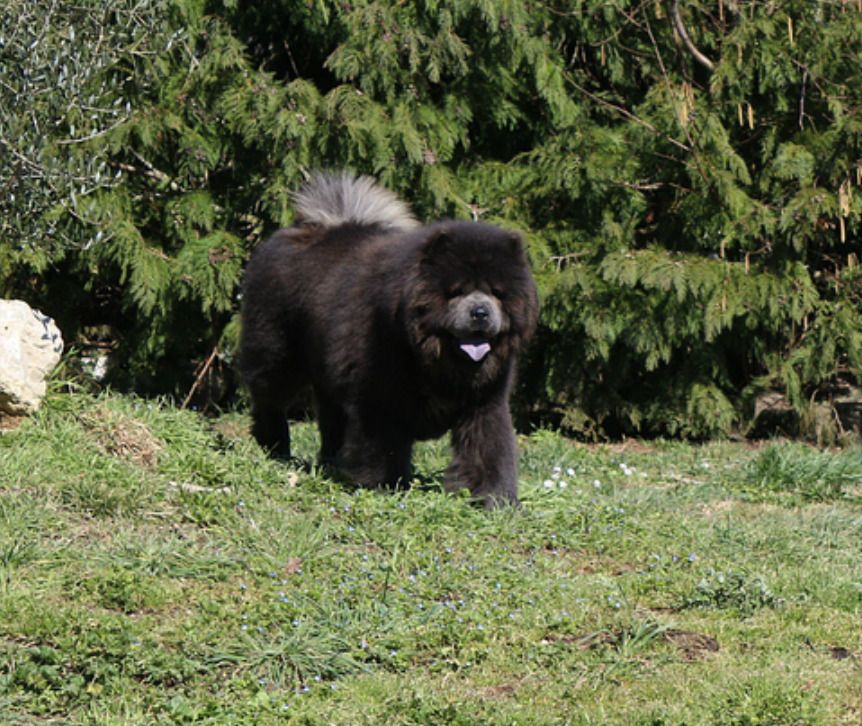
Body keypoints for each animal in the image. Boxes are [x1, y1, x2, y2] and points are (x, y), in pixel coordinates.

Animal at [241, 173, 540, 510]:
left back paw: (332, 463)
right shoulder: (380, 395)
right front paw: (384, 486)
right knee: (269, 398)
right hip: (278, 353)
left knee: (331, 418)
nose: (480, 312)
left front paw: (495, 499)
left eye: (497, 293)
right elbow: (382, 443)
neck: (433, 356)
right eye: (456, 291)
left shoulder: (485, 403)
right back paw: (275, 447)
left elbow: (489, 448)